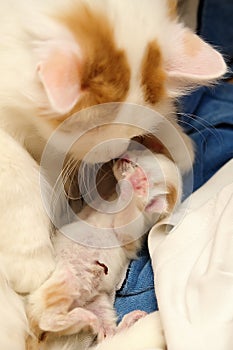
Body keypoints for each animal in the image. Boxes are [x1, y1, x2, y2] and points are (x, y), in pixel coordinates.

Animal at [26, 150, 182, 350]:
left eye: (137, 164)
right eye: (140, 151)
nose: (124, 155)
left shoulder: (131, 233)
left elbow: (127, 221)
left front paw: (136, 183)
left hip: (90, 296)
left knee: (51, 321)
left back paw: (99, 320)